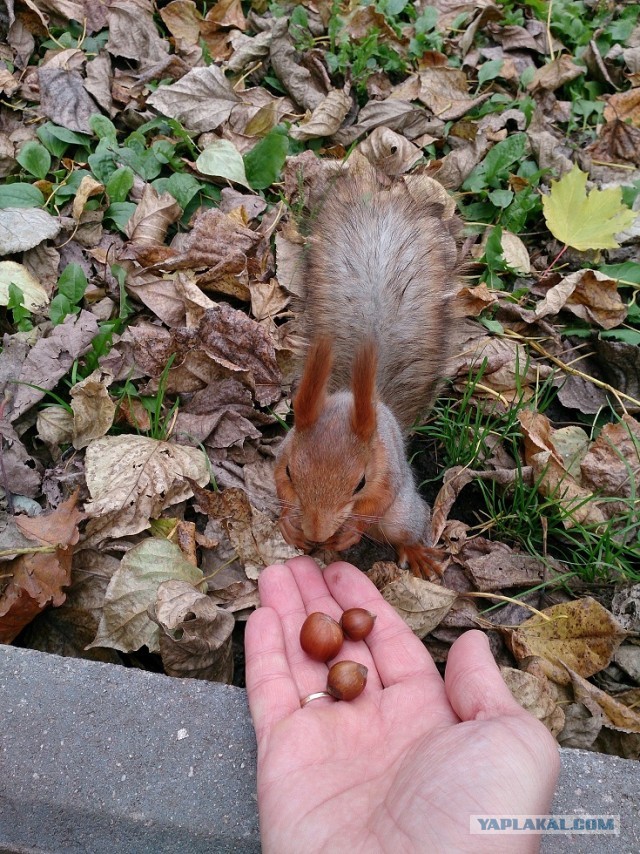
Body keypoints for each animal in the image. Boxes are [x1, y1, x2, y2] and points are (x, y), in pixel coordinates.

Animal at [274, 170, 460, 580]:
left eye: (359, 482)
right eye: (291, 471)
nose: (317, 533)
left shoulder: (386, 473)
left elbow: (374, 504)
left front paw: (350, 531)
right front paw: (287, 524)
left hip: (404, 514)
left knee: (403, 532)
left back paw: (416, 553)